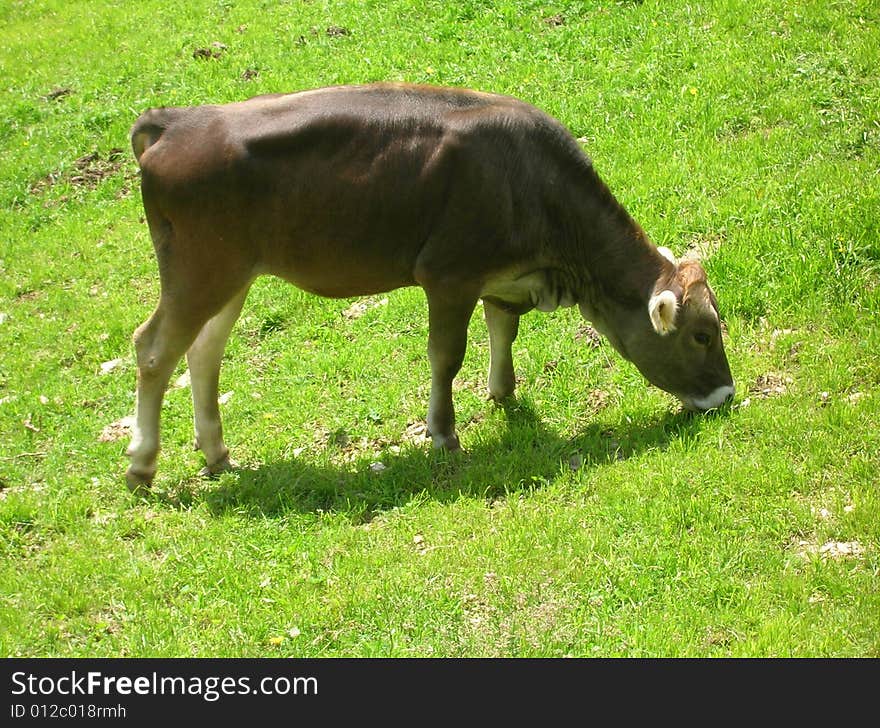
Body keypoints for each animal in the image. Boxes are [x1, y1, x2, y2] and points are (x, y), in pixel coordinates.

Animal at [125, 82, 736, 492]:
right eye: (702, 335)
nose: (728, 395)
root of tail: (177, 122)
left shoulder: (501, 278)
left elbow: (503, 330)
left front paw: (503, 393)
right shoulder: (448, 276)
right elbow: (447, 355)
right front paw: (444, 434)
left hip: (231, 276)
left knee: (203, 352)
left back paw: (217, 455)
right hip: (200, 271)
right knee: (154, 348)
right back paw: (142, 465)